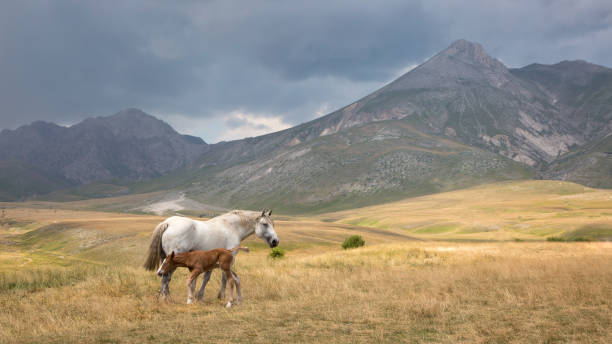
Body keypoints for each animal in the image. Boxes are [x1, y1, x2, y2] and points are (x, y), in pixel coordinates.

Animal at [143, 208, 278, 302]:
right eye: (265, 224)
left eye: (273, 224)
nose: (275, 241)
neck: (232, 227)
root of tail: (168, 223)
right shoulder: (229, 258)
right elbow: (224, 278)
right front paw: (221, 296)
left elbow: (205, 278)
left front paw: (199, 296)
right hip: (172, 261)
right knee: (166, 278)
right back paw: (166, 298)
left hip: (165, 260)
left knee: (163, 277)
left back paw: (163, 296)